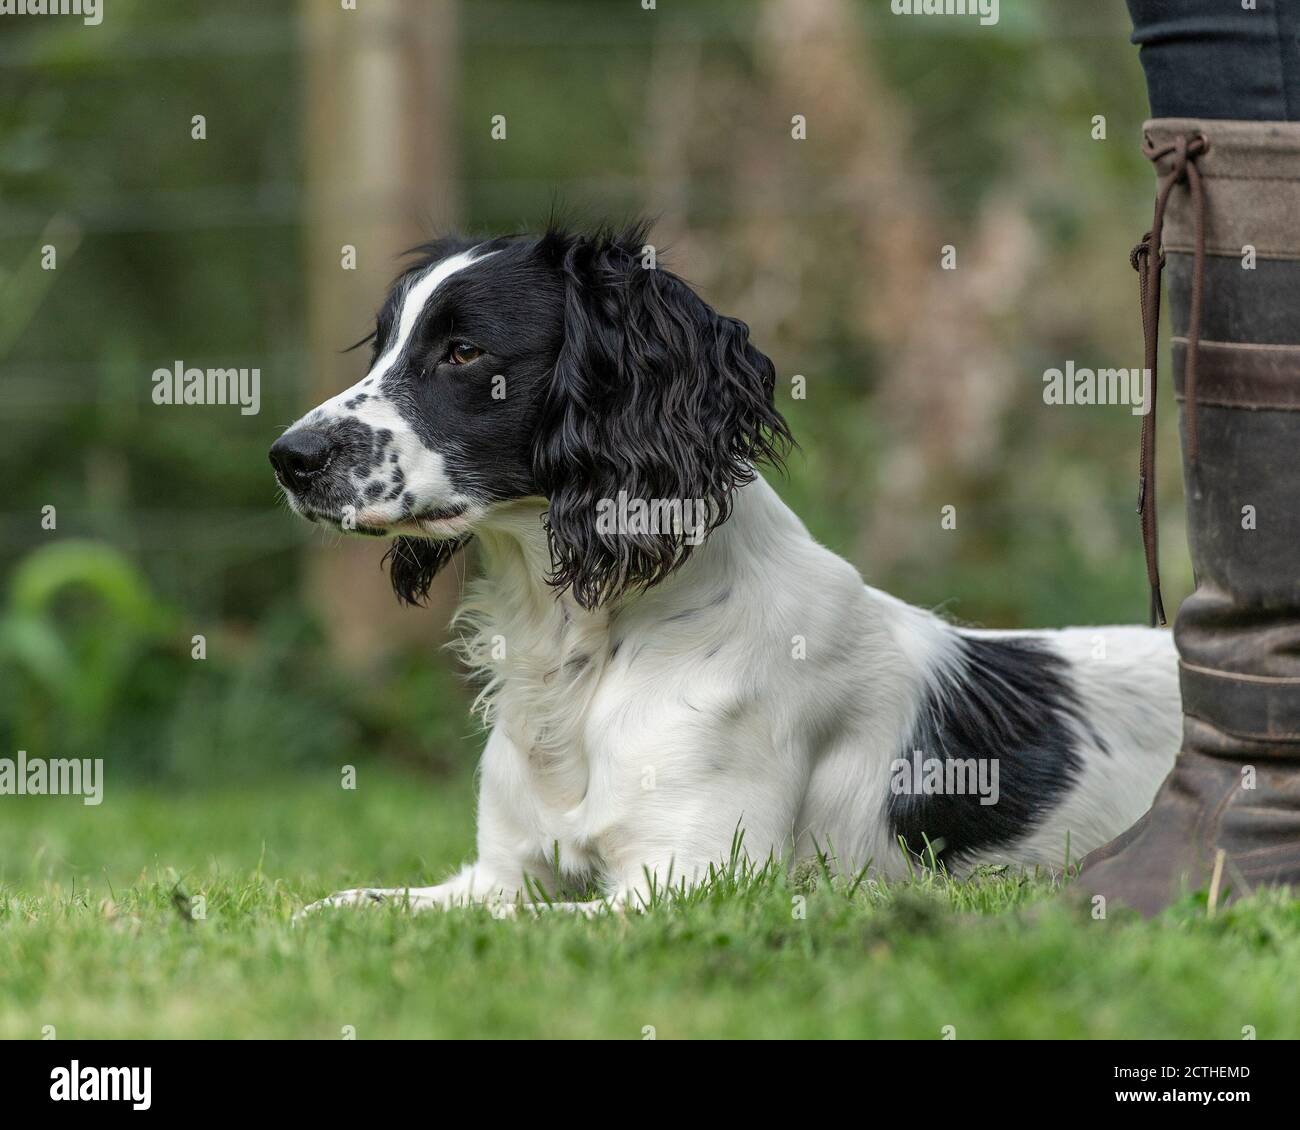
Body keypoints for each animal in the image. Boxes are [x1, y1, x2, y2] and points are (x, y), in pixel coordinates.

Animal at [269, 224, 1185, 910]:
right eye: (382, 346)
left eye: (463, 352)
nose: (288, 458)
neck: (581, 649)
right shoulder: (497, 877)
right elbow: (343, 909)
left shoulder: (689, 883)